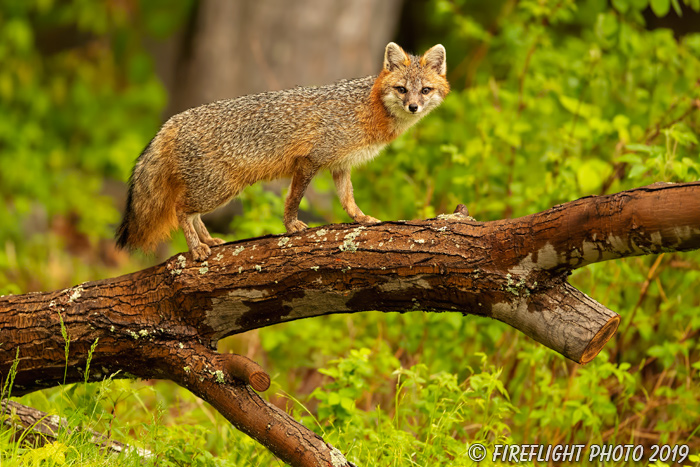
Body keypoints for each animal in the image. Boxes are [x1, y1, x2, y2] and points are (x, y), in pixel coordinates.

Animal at [115, 42, 448, 262]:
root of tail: (175, 119)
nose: (413, 107)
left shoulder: (340, 165)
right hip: (218, 190)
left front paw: (363, 219)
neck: (368, 107)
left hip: (213, 189)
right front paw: (291, 226)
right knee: (181, 210)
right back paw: (196, 248)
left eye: (425, 90)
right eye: (402, 89)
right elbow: (293, 199)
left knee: (192, 213)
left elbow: (348, 200)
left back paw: (207, 239)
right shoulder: (310, 159)